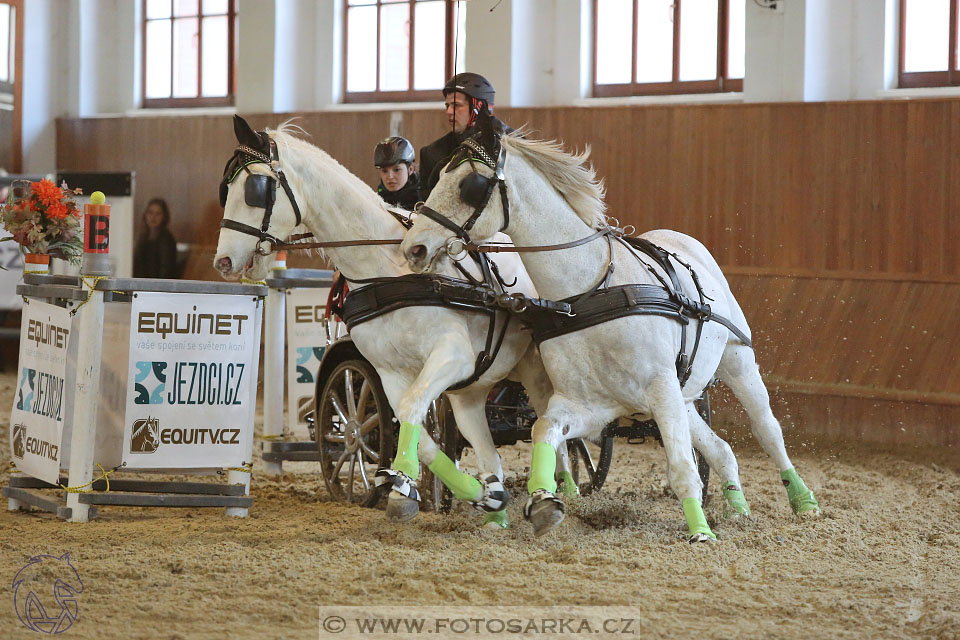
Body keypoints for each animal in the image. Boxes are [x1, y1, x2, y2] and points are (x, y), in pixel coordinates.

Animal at [211, 117, 568, 528]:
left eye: (254, 189)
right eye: (225, 189)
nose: (222, 262)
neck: (388, 272)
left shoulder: (453, 355)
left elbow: (413, 410)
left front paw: (400, 487)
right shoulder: (389, 373)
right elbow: (418, 433)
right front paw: (445, 491)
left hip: (537, 368)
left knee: (554, 424)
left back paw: (563, 492)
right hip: (474, 386)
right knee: (490, 442)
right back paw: (498, 507)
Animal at [402, 121, 820, 540]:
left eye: (468, 184)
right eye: (437, 176)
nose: (413, 247)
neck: (589, 293)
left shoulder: (660, 387)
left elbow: (682, 467)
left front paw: (701, 532)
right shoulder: (589, 404)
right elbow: (544, 430)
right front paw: (545, 501)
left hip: (735, 361)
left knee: (767, 429)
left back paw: (803, 502)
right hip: (683, 394)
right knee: (720, 449)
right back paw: (738, 511)